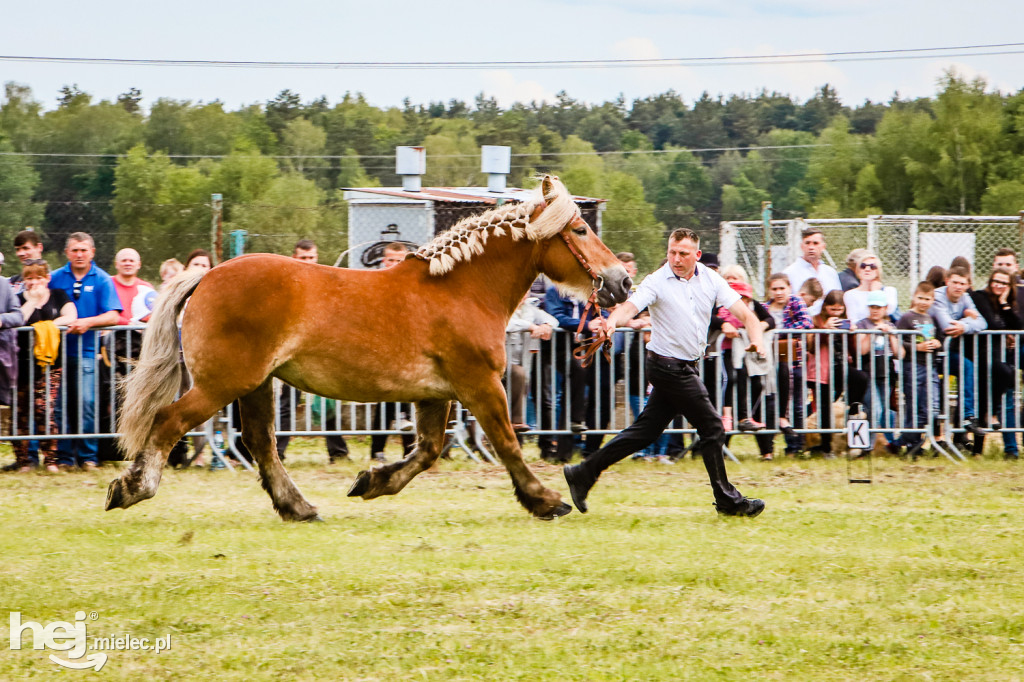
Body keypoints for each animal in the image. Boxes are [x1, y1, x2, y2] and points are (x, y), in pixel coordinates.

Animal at [105, 175, 630, 520]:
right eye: (580, 230)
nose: (622, 282)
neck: (461, 289)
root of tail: (207, 275)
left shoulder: (436, 395)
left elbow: (428, 450)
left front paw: (372, 482)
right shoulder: (480, 384)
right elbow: (506, 443)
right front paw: (545, 500)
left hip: (255, 384)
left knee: (261, 442)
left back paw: (297, 506)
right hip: (223, 383)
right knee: (170, 421)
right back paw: (132, 488)